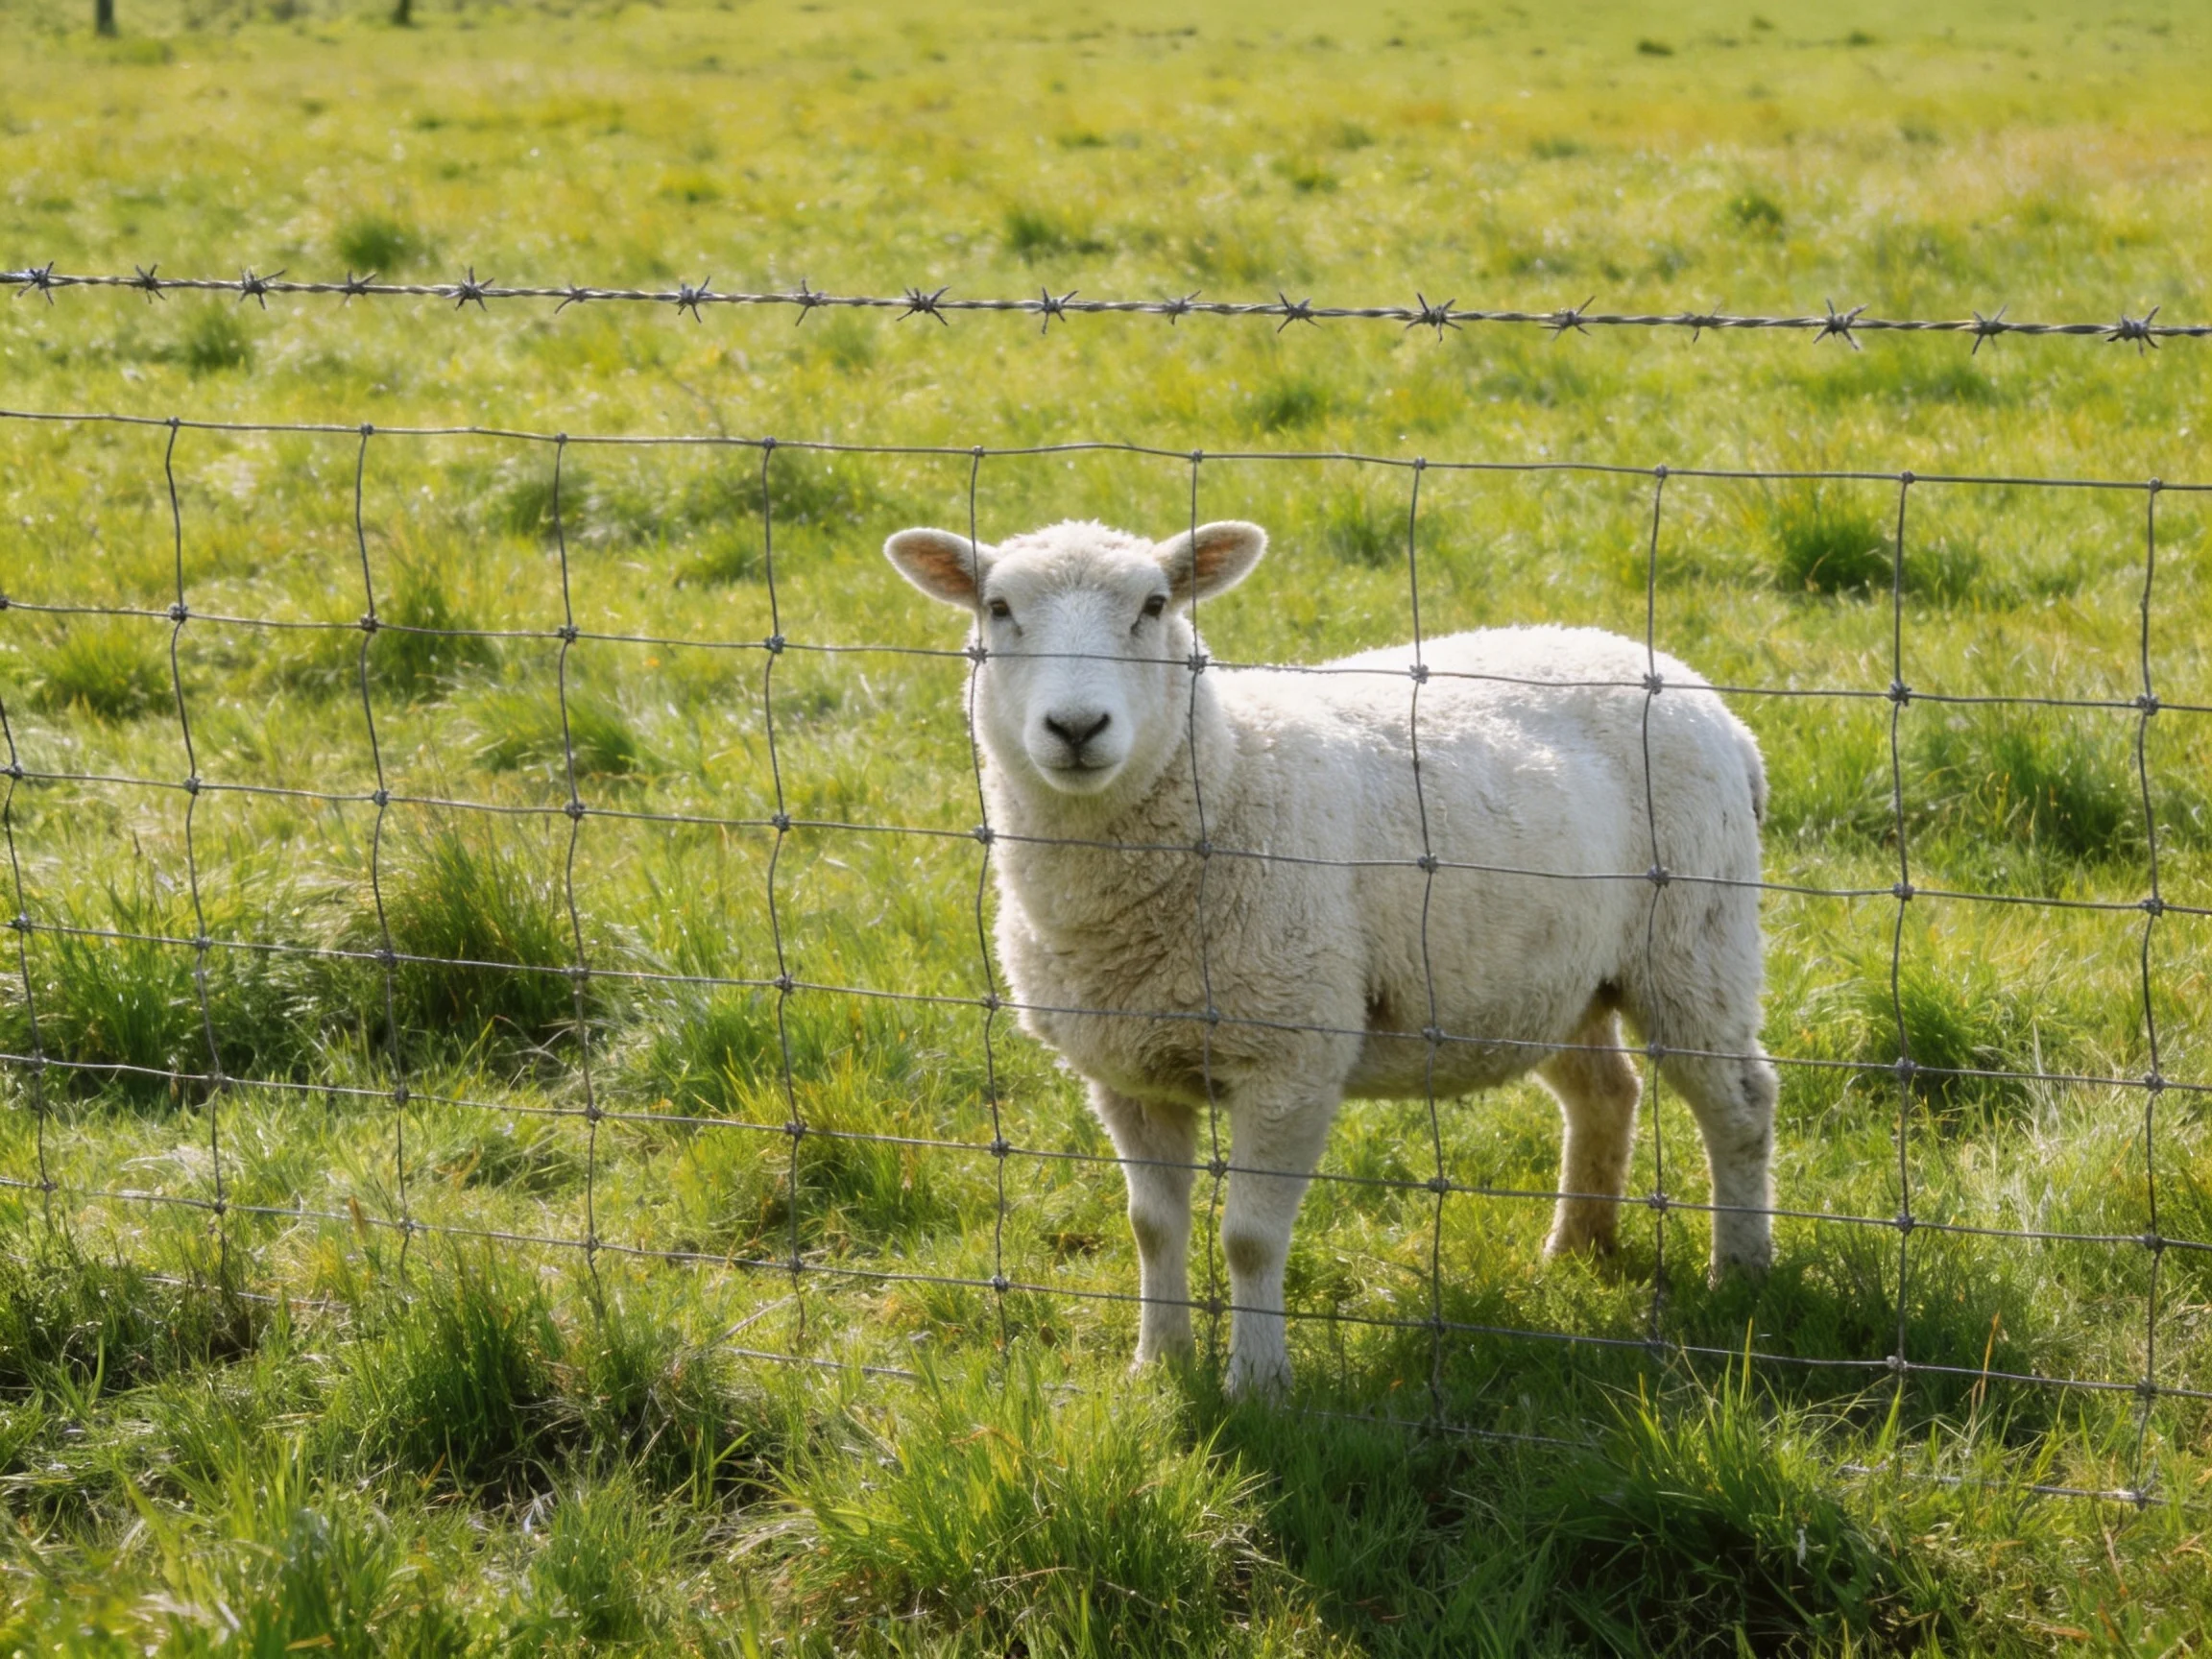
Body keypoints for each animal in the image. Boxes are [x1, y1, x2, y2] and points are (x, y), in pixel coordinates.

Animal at [884, 516, 1777, 1399]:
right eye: (998, 608)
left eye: (1155, 605)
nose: (1075, 729)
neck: (1228, 774)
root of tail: (1698, 695)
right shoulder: (1127, 1072)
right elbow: (1151, 1226)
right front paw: (1159, 1364)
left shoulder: (1292, 1056)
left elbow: (1248, 1238)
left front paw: (1257, 1386)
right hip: (1554, 976)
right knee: (1606, 1094)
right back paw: (1578, 1251)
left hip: (1694, 938)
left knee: (1739, 1102)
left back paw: (1740, 1275)